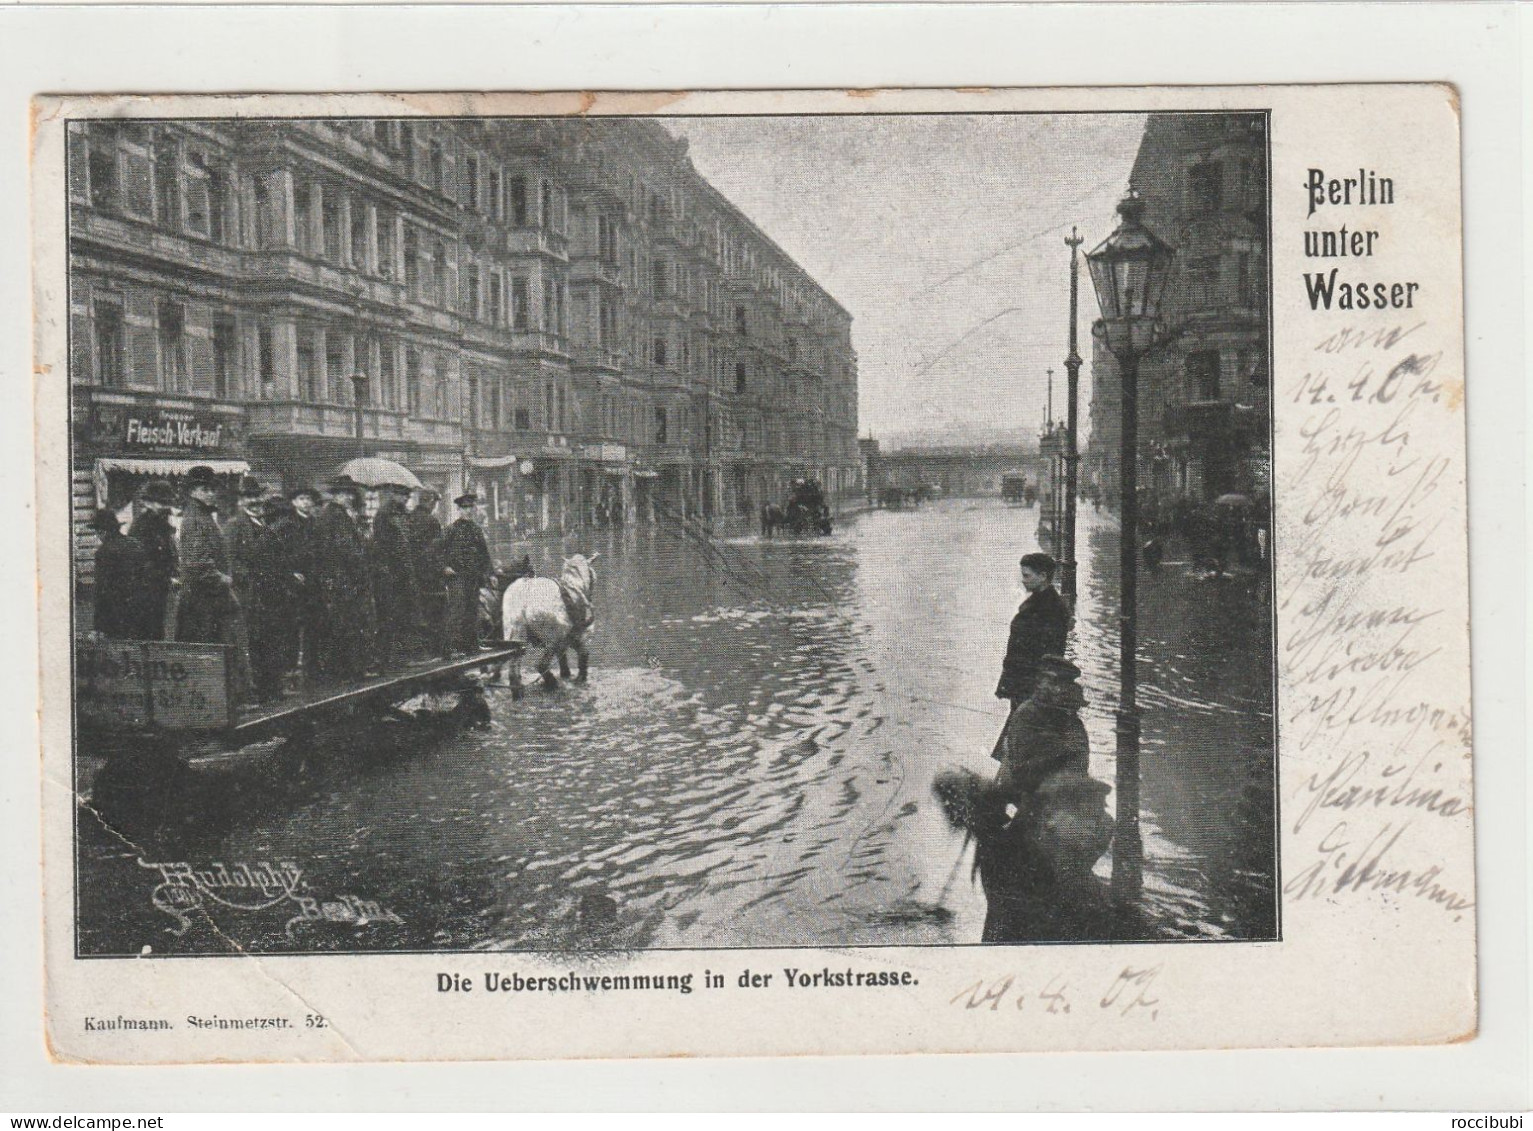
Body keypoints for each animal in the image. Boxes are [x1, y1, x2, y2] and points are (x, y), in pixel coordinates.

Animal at [502, 551, 597, 686]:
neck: (574, 582)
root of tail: (524, 601)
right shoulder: (579, 634)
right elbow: (583, 654)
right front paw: (581, 677)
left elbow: (563, 656)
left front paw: (566, 673)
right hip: (553, 638)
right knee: (541, 664)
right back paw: (551, 683)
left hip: (514, 635)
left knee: (513, 665)